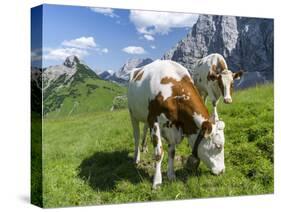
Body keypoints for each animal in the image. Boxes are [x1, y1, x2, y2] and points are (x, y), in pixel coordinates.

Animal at [127, 59, 225, 189]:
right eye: (218, 146)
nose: (222, 171)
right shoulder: (154, 120)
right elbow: (159, 153)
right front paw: (157, 182)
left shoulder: (172, 127)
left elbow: (172, 152)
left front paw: (171, 175)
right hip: (132, 114)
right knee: (136, 136)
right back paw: (136, 158)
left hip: (144, 115)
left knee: (144, 130)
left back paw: (144, 147)